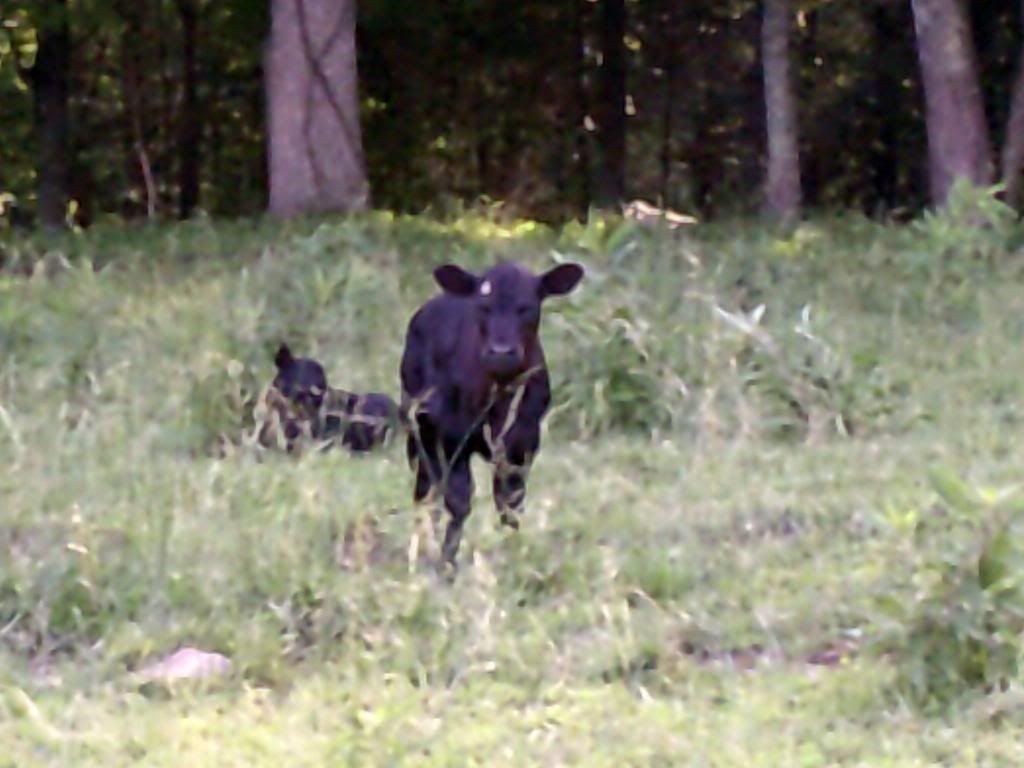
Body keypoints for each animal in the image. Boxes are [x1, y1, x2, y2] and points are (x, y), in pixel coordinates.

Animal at [400, 260, 584, 569]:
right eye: (482, 306)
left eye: (527, 306)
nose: (501, 352)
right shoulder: (451, 438)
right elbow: (459, 501)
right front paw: (447, 563)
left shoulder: (522, 446)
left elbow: (510, 504)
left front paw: (512, 554)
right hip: (419, 430)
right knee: (427, 489)